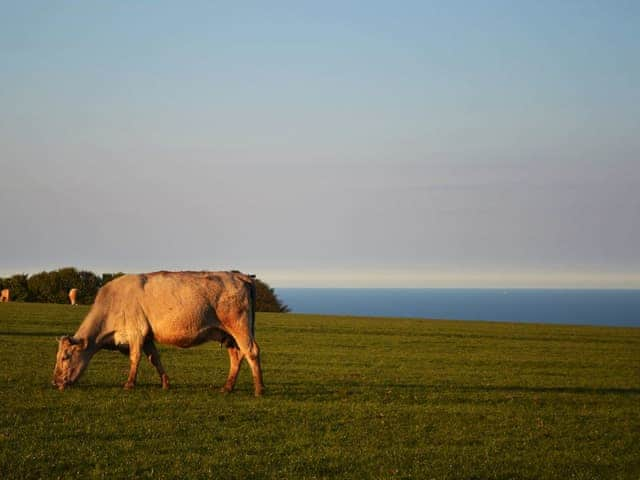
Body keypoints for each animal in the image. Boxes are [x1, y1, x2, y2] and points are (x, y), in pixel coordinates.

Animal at [52, 272, 264, 396]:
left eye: (65, 357)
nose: (54, 382)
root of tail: (240, 276)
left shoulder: (136, 332)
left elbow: (135, 358)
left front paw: (129, 384)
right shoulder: (147, 337)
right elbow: (155, 359)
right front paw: (165, 383)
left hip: (239, 326)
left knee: (251, 351)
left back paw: (259, 388)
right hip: (227, 334)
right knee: (236, 356)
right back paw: (227, 387)